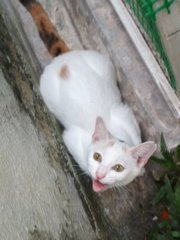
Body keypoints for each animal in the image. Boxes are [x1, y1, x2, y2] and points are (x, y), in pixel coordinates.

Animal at [40, 49, 157, 192]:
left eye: (118, 168)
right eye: (97, 157)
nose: (99, 174)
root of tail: (63, 59)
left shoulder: (128, 119)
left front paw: (141, 171)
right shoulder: (72, 138)